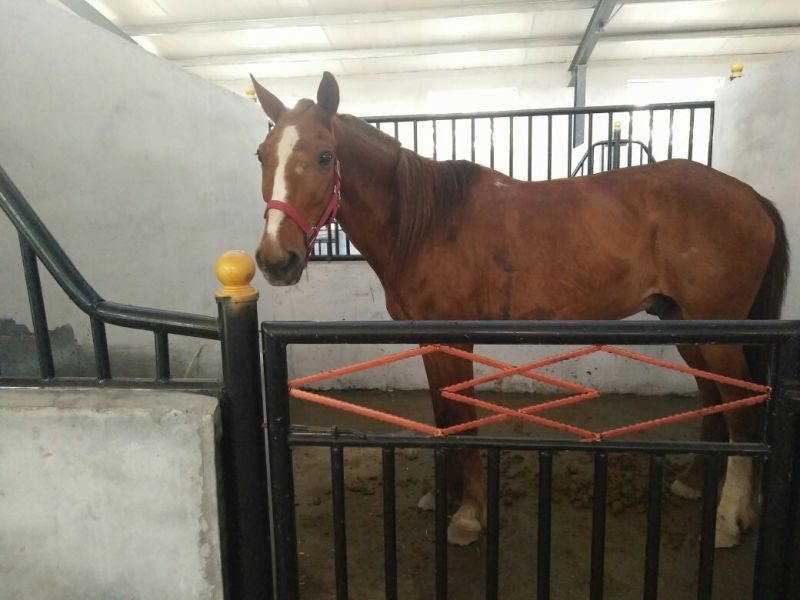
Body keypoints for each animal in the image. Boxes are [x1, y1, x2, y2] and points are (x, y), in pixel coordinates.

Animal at [250, 72, 788, 549]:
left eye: (325, 156)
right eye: (262, 155)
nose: (277, 260)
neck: (426, 223)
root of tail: (750, 197)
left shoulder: (456, 338)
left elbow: (462, 416)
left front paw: (469, 516)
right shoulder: (428, 339)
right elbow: (444, 414)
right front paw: (443, 497)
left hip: (718, 333)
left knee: (741, 409)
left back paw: (728, 519)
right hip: (685, 325)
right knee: (715, 398)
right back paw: (693, 484)